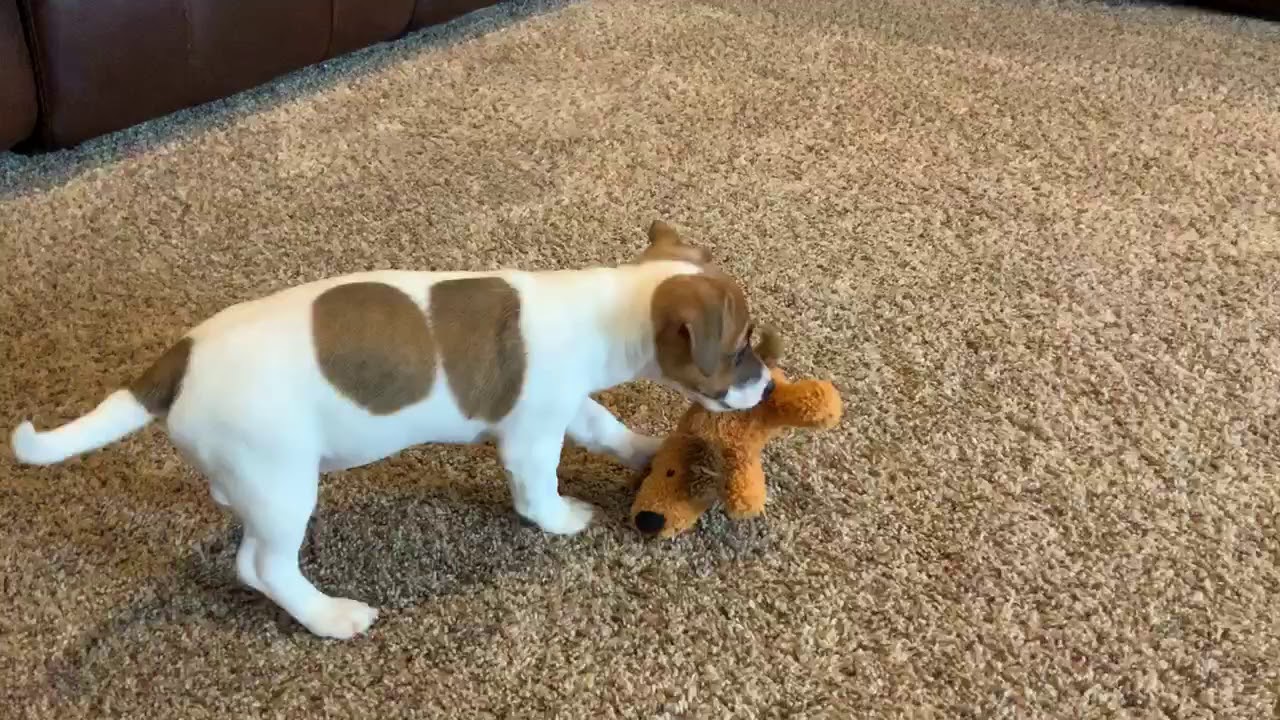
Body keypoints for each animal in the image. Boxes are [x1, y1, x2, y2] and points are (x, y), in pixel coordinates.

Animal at [9, 220, 774, 640]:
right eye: (742, 346)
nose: (767, 386)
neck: (607, 307)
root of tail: (179, 359)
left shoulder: (565, 406)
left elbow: (606, 427)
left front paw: (648, 450)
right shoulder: (529, 435)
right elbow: (537, 490)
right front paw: (562, 520)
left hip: (252, 475)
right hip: (282, 483)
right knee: (261, 566)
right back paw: (329, 617)